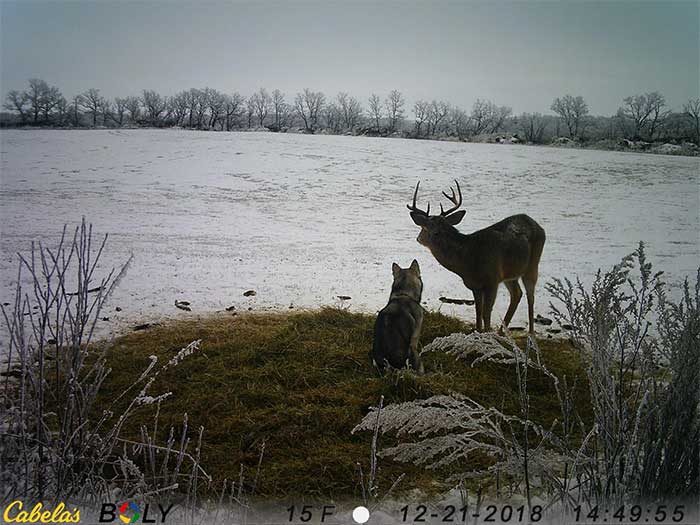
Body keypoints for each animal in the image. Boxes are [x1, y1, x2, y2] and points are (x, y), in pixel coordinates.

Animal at [407, 180, 546, 334]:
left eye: (423, 228)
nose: (419, 238)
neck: (468, 260)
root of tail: (535, 223)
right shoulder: (475, 285)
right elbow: (478, 312)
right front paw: (479, 331)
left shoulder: (492, 280)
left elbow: (486, 313)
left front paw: (487, 333)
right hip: (510, 274)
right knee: (517, 294)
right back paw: (501, 332)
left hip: (533, 264)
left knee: (530, 296)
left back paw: (530, 332)